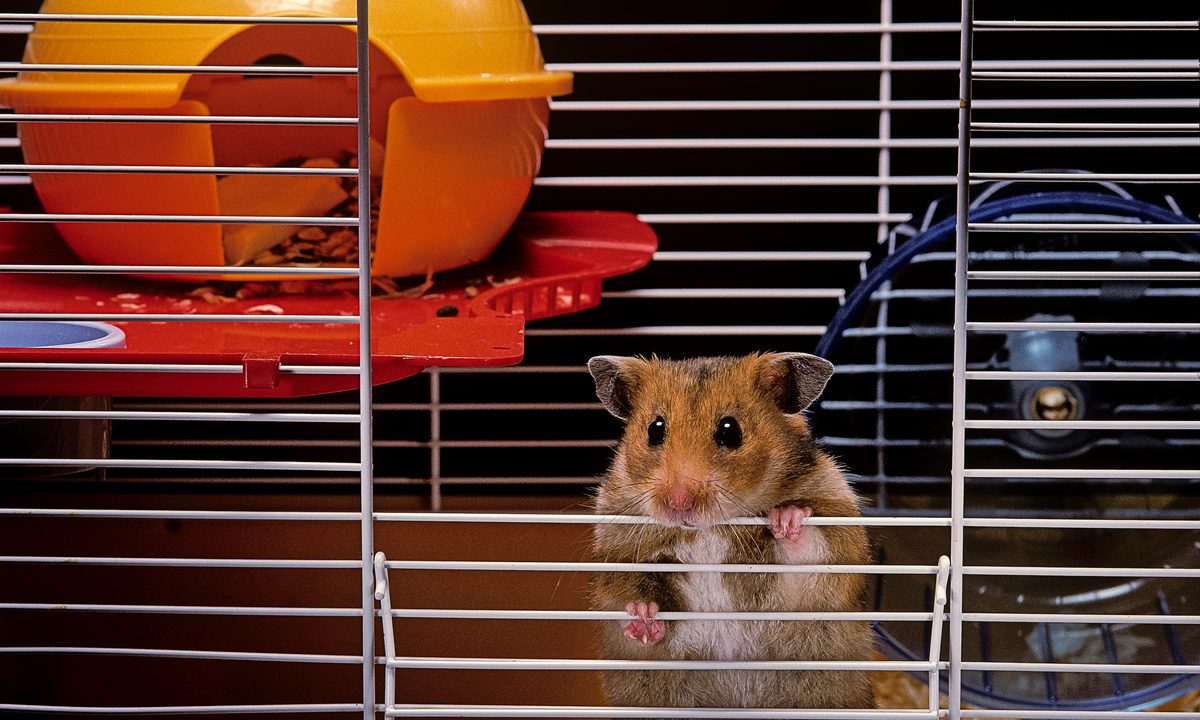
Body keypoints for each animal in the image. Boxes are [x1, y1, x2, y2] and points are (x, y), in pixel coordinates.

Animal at [587, 352, 874, 712]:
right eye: (655, 429)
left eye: (731, 430)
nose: (678, 503)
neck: (709, 532)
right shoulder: (616, 548)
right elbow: (630, 590)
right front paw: (644, 618)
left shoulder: (829, 555)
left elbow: (806, 553)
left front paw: (786, 518)